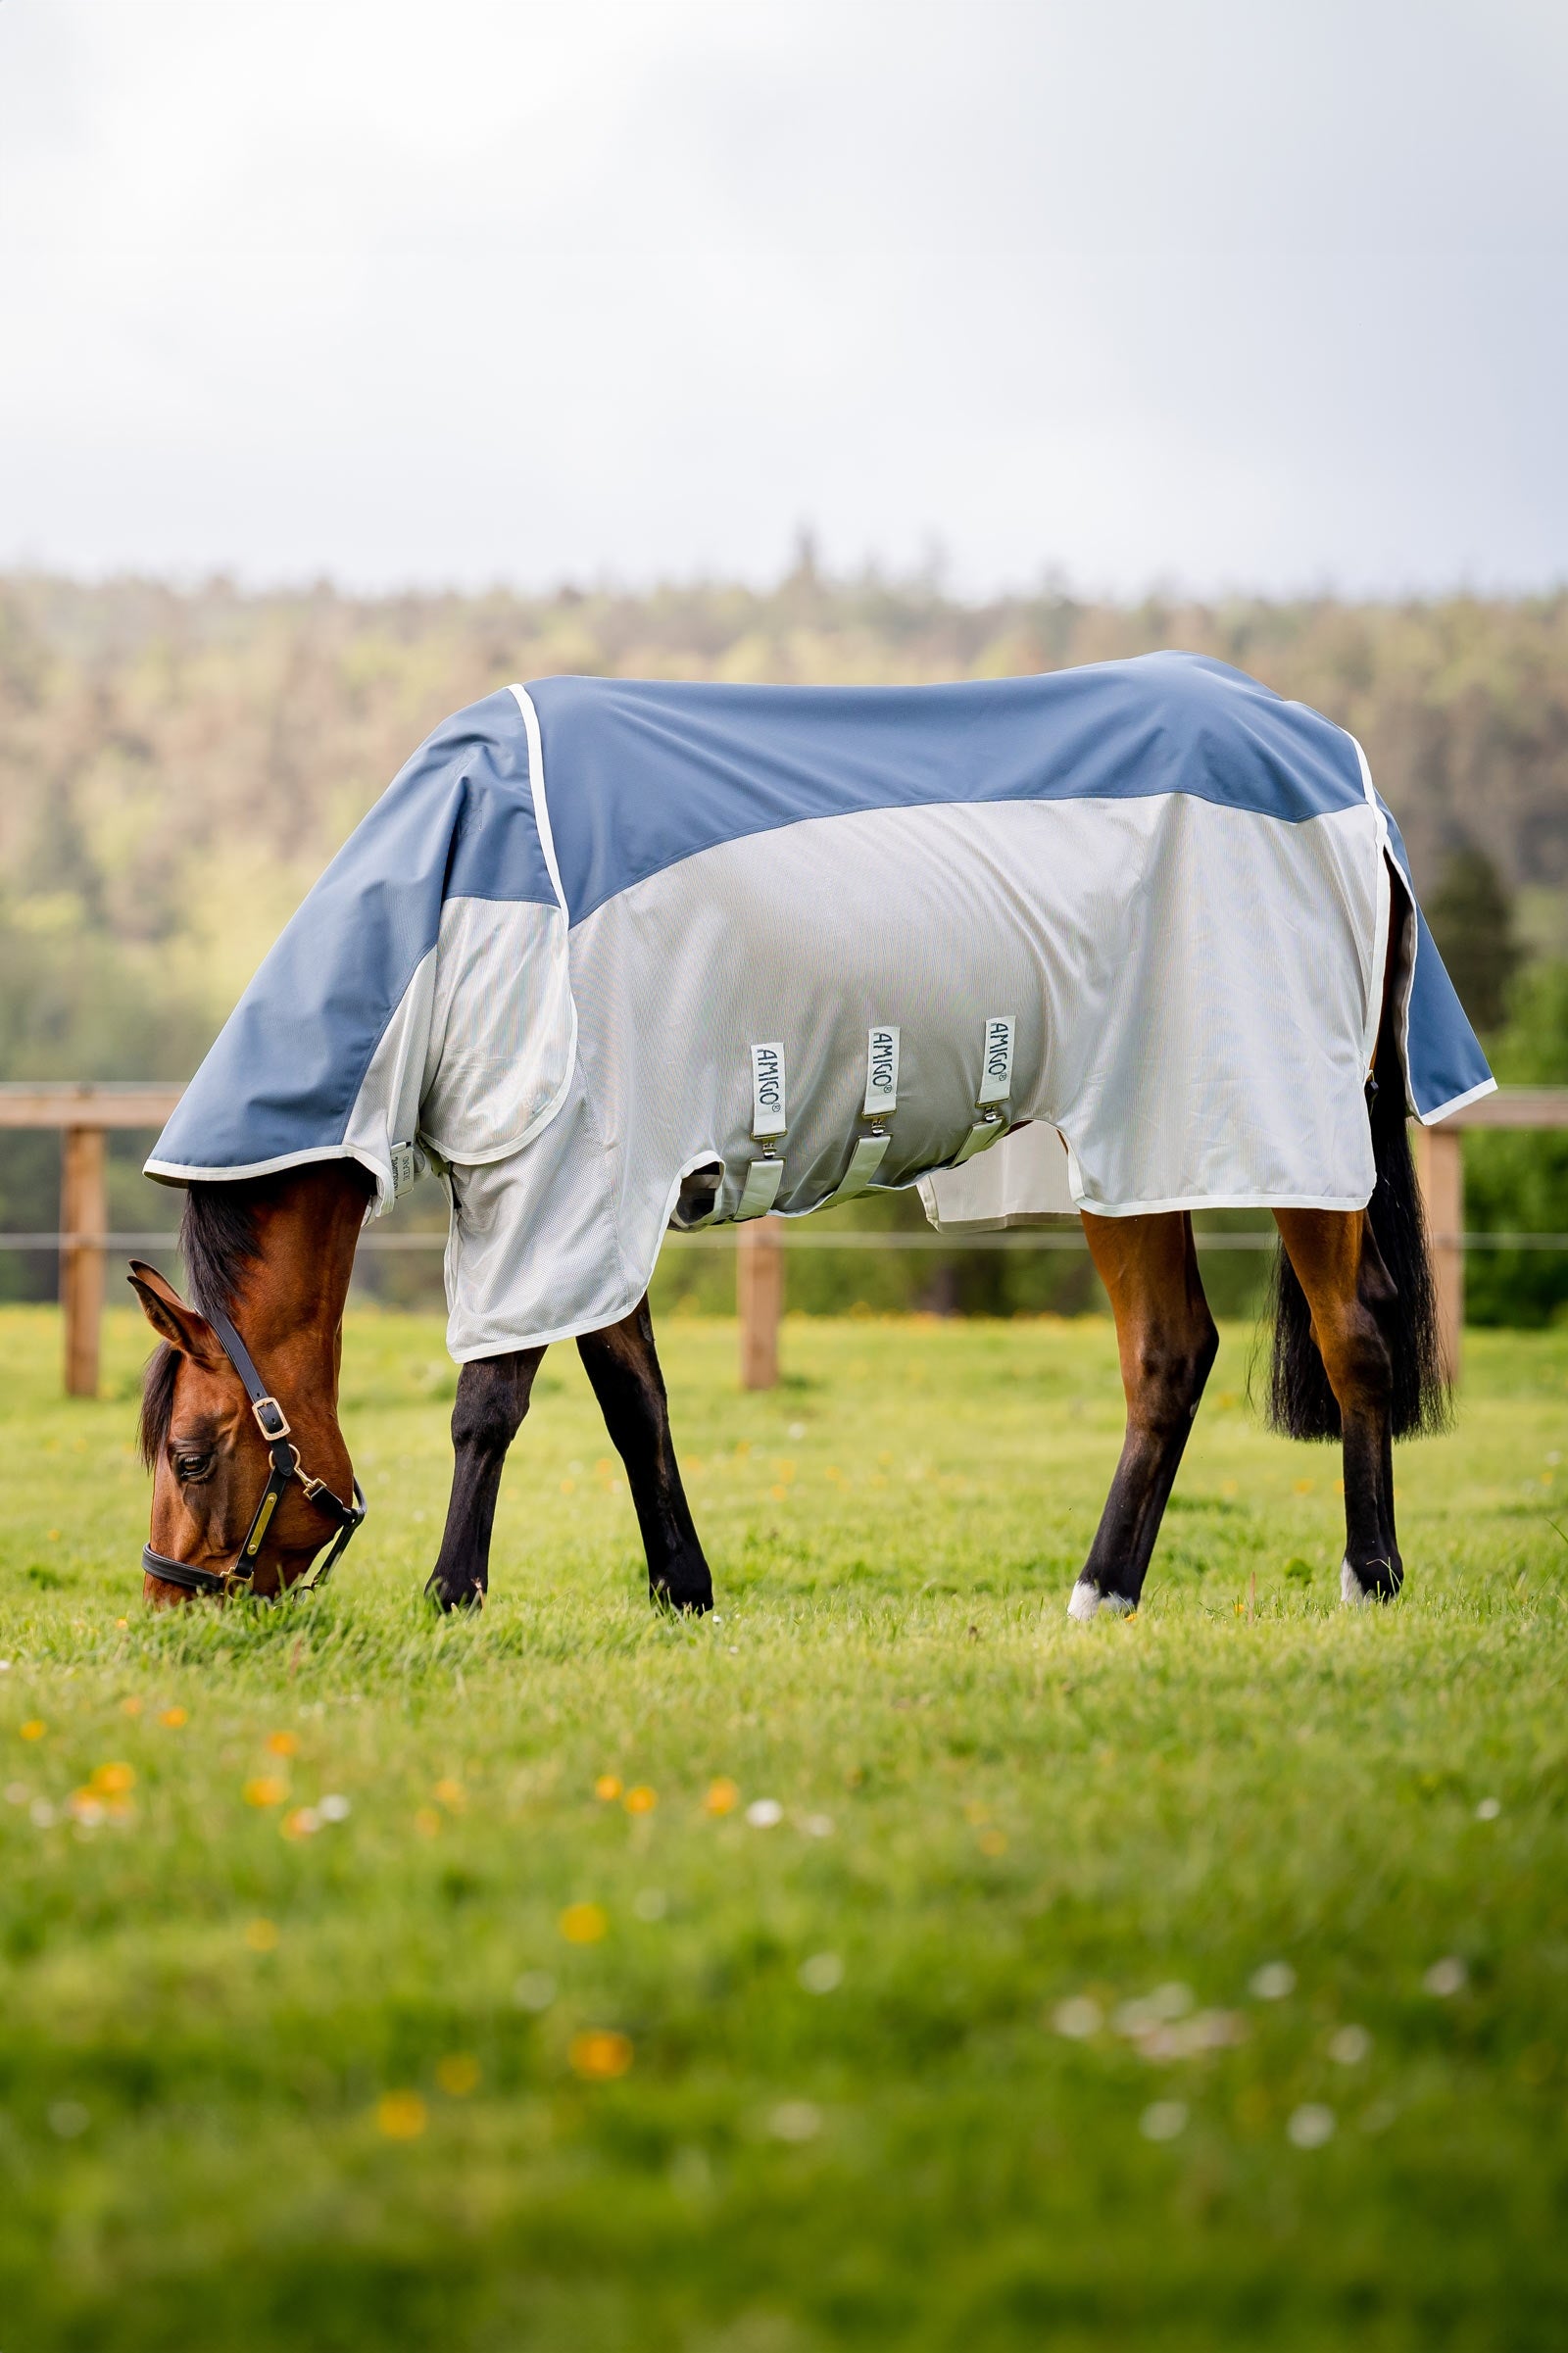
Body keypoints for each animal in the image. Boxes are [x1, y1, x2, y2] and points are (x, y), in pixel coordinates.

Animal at [130, 654, 1488, 1617]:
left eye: (192, 1454)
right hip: (1134, 1148)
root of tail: (1346, 784)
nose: (170, 1605)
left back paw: (1367, 1576)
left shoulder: (557, 1184)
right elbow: (635, 1401)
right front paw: (683, 1590)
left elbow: (490, 1404)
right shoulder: (603, 1200)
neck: (462, 898)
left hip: (1274, 1127)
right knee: (1172, 1354)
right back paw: (1104, 1593)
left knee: (1349, 1335)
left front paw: (450, 1595)